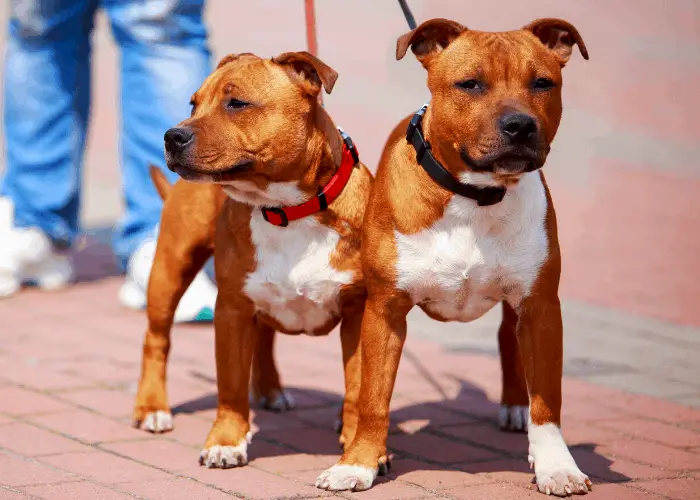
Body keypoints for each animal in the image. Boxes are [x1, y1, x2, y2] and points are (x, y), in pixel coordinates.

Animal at [159, 48, 374, 466]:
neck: (288, 210)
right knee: (156, 340)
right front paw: (226, 440)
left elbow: (358, 386)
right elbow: (230, 384)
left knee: (264, 336)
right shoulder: (231, 309)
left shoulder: (359, 312)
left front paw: (357, 441)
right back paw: (151, 408)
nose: (172, 135)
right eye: (193, 104)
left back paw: (271, 390)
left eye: (236, 103)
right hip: (170, 269)